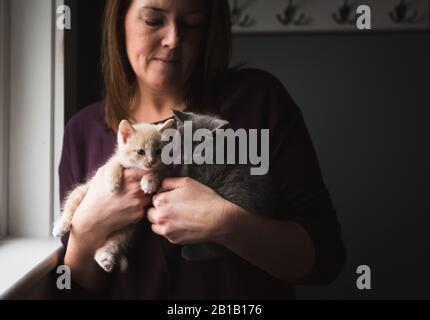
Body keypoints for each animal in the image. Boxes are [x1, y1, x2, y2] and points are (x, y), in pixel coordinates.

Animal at [53, 117, 174, 272]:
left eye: (158, 151)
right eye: (141, 152)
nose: (151, 162)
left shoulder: (166, 171)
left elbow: (159, 173)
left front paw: (150, 182)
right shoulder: (112, 161)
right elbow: (114, 166)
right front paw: (112, 183)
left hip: (125, 231)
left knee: (112, 245)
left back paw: (105, 259)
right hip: (80, 192)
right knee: (69, 208)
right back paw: (61, 226)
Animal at [170, 111, 274, 262]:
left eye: (198, 150)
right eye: (182, 145)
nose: (184, 157)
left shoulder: (208, 173)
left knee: (218, 248)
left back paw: (188, 252)